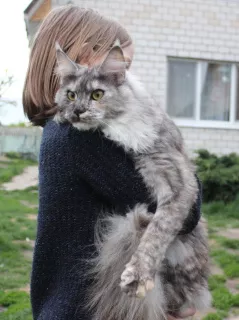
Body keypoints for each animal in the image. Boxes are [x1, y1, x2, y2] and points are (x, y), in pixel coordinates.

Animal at [54, 44, 211, 320]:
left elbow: (156, 231)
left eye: (97, 94)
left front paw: (138, 276)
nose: (77, 111)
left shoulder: (176, 178)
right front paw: (60, 117)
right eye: (71, 95)